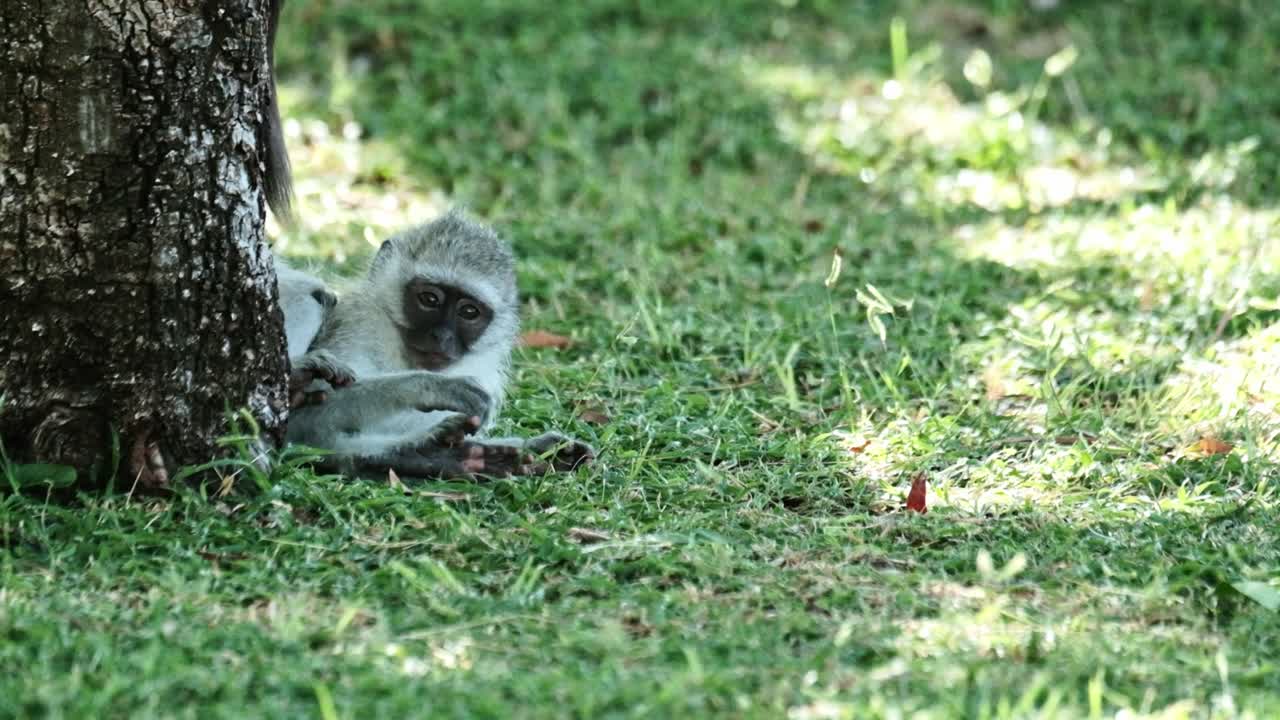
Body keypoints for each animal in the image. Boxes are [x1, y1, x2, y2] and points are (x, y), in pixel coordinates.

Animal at [284, 210, 594, 480]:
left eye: (469, 312)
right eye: (430, 299)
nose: (441, 337)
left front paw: (539, 449)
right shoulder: (359, 326)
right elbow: (306, 418)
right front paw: (427, 387)